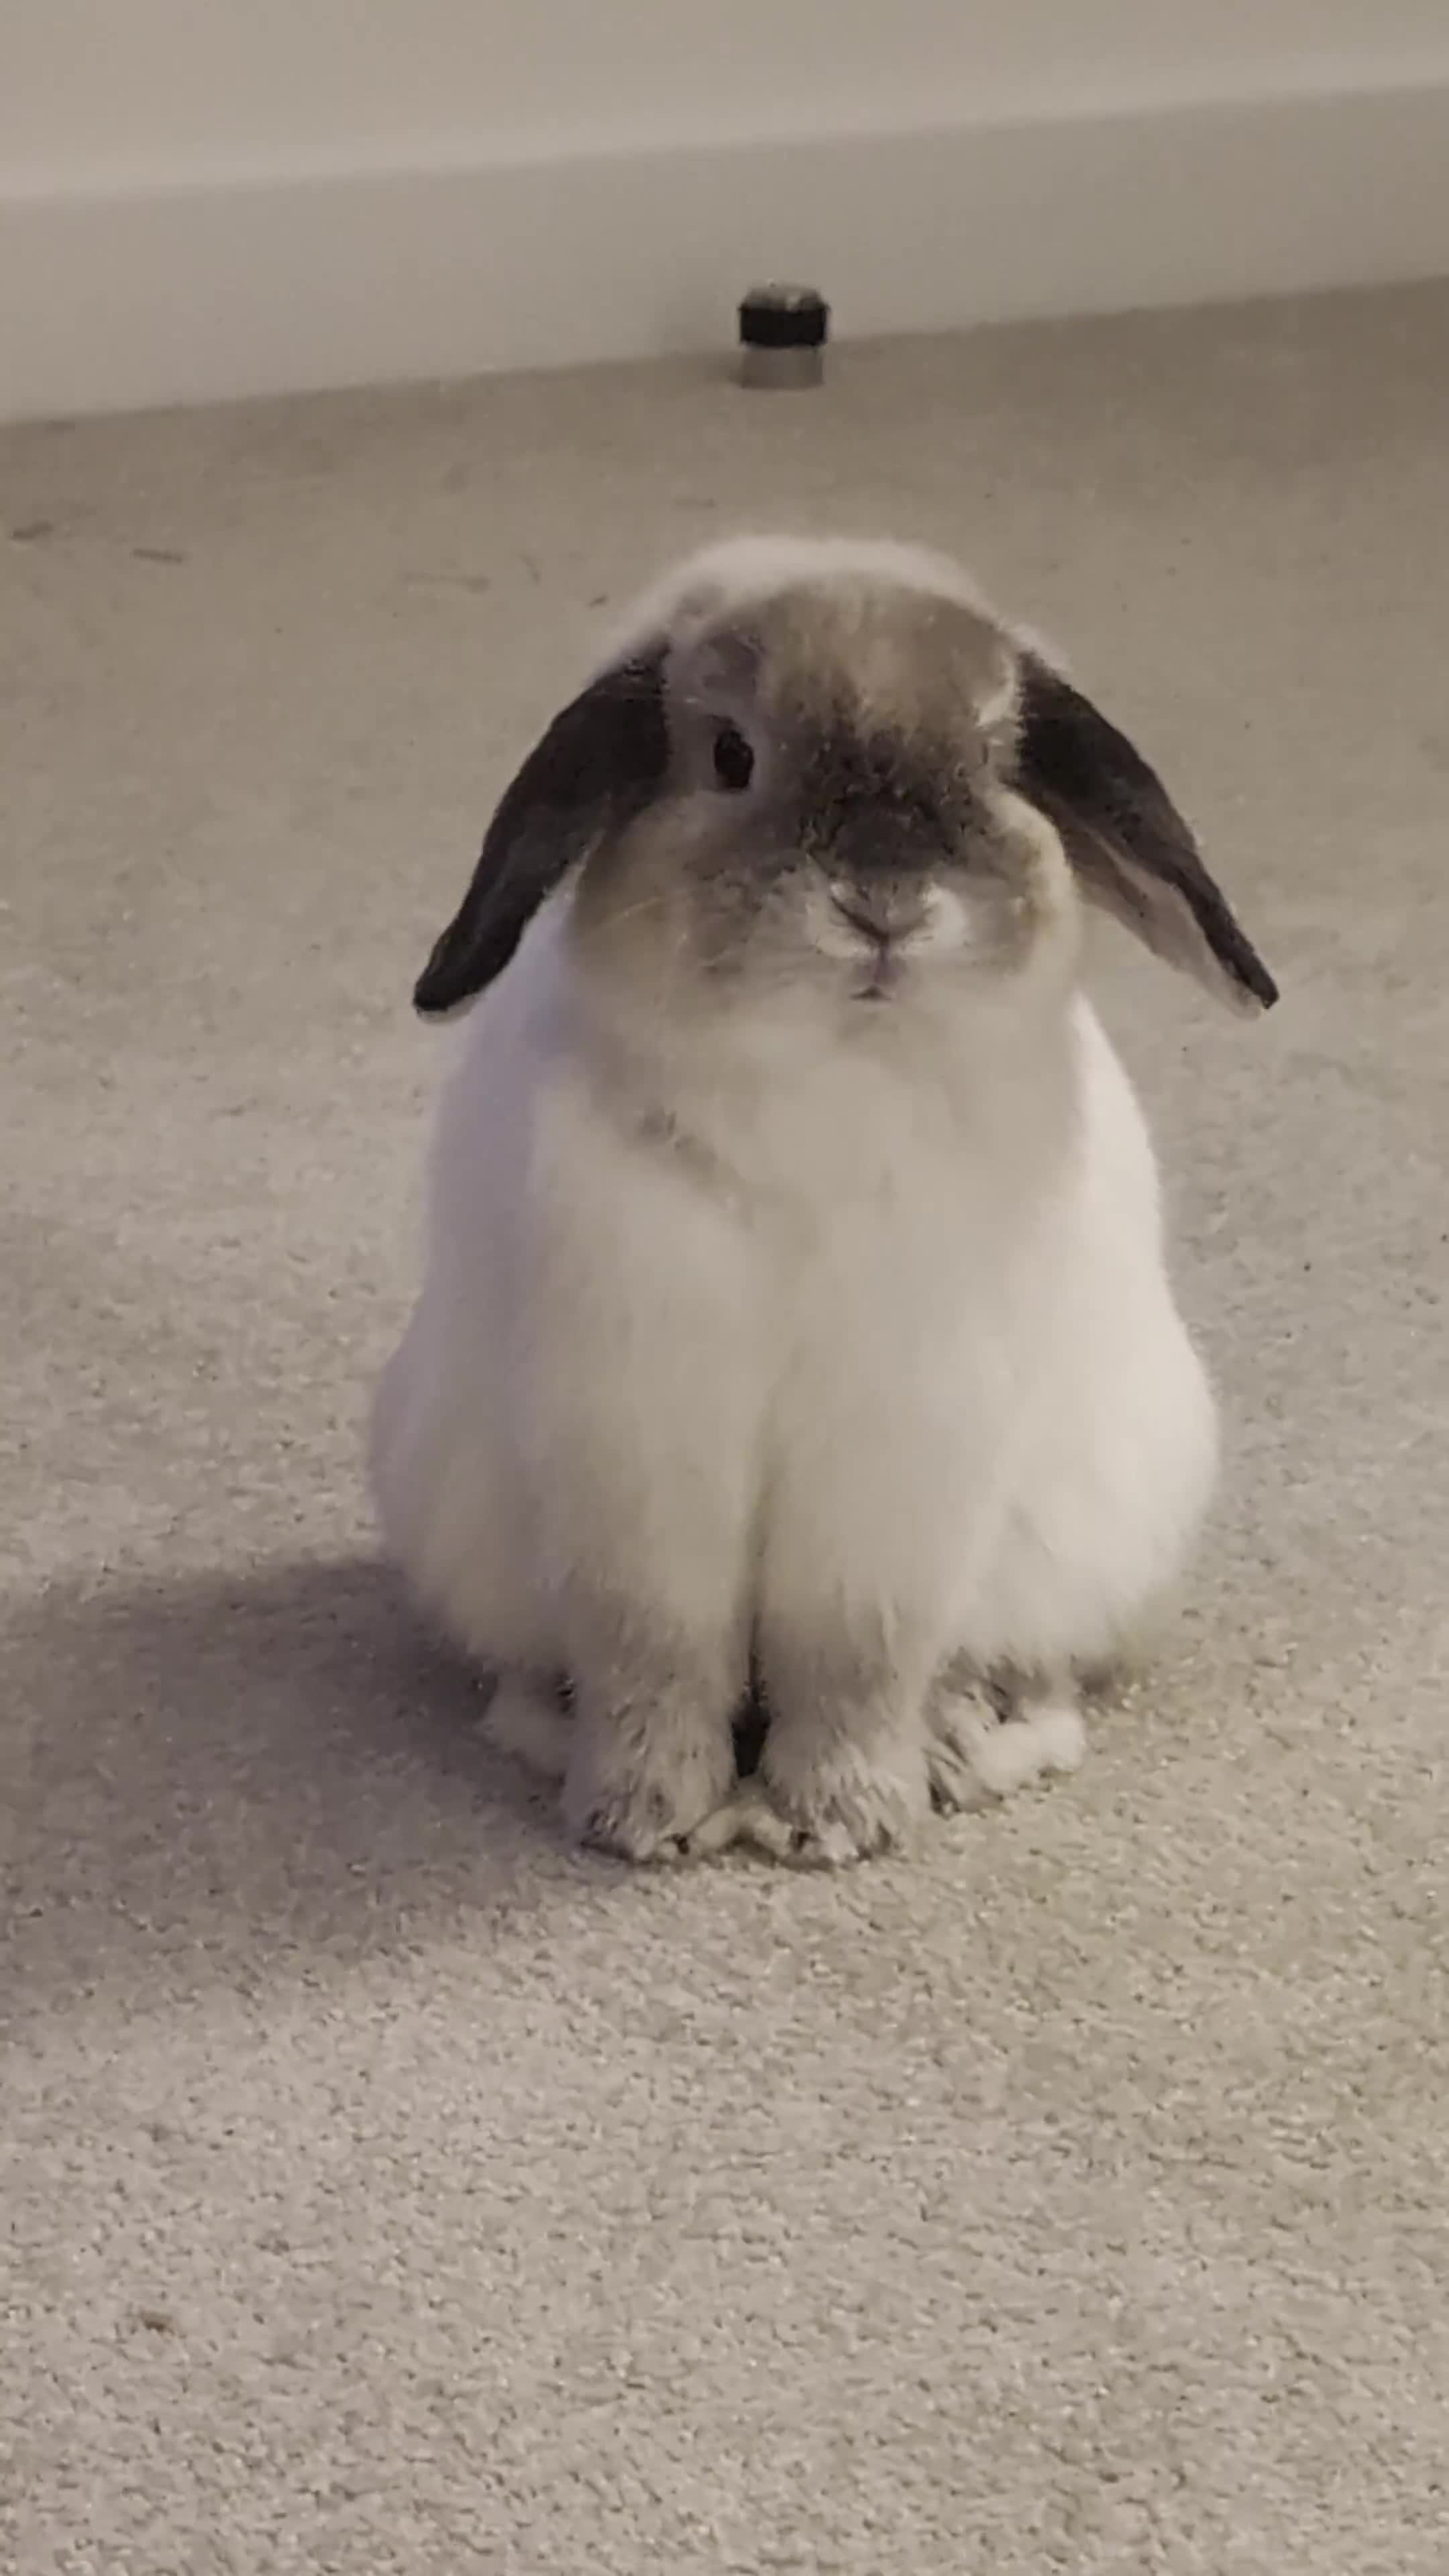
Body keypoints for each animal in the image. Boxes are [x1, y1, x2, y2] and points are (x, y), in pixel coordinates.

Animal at [371, 534, 1277, 1866]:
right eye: (730, 755)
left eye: (994, 757)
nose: (884, 900)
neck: (827, 1084)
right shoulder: (637, 1456)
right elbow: (656, 1653)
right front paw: (645, 1818)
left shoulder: (893, 1471)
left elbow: (852, 1653)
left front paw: (835, 1822)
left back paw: (961, 1742)